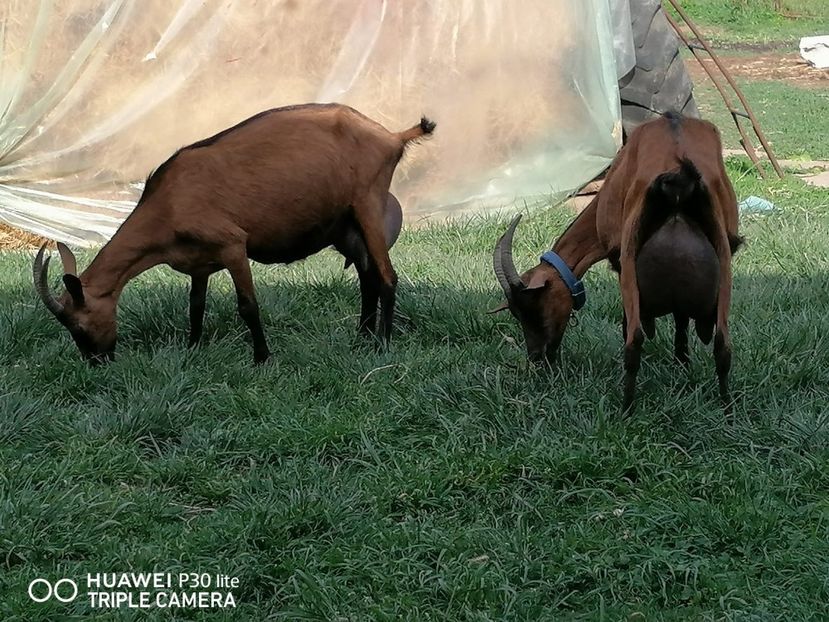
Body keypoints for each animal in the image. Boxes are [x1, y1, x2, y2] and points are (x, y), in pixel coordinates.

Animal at [32, 102, 434, 366]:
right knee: (367, 277)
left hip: (367, 203)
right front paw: (192, 350)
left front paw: (262, 358)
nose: (97, 363)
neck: (168, 202)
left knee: (387, 276)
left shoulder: (232, 245)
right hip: (346, 226)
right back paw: (361, 338)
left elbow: (247, 305)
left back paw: (383, 343)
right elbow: (195, 306)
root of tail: (392, 137)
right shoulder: (197, 263)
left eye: (79, 327)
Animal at [494, 112, 740, 414]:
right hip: (723, 256)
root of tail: (679, 175)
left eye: (533, 307)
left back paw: (626, 411)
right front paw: (681, 362)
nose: (538, 357)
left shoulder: (620, 262)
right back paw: (727, 410)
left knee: (634, 339)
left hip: (632, 255)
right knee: (722, 345)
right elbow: (681, 318)